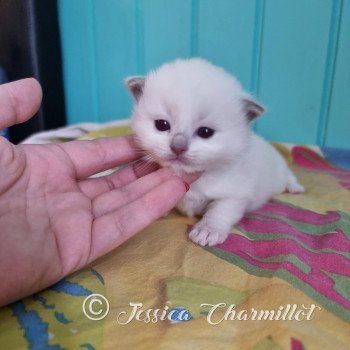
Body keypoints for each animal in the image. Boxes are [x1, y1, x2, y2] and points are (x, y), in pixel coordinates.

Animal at [126, 58, 304, 246]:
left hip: (278, 174)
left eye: (205, 132)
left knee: (288, 176)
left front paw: (208, 230)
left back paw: (295, 187)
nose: (178, 147)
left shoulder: (236, 194)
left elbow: (220, 210)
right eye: (161, 125)